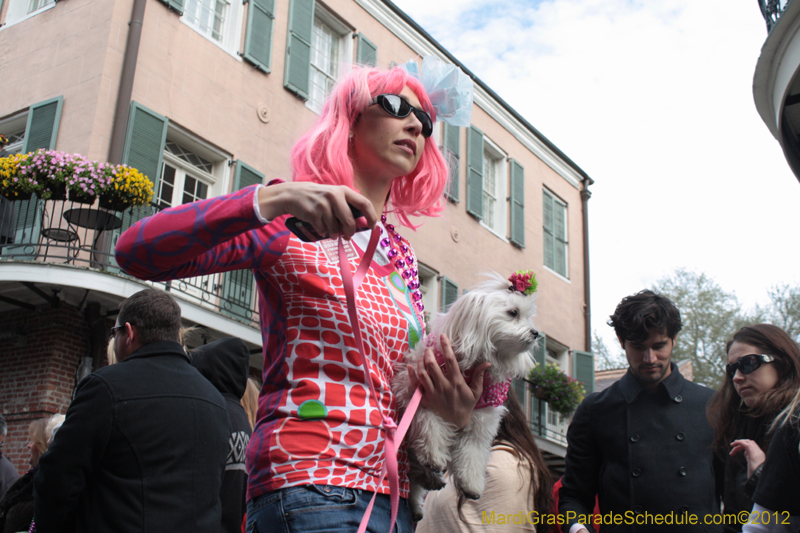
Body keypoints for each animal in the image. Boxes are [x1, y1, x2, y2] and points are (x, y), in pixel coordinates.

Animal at [392, 272, 536, 516]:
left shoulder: (482, 417)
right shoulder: (420, 393)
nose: (535, 333)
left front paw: (471, 484)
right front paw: (433, 454)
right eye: (513, 313)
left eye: (528, 317)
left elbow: (473, 451)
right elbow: (430, 423)